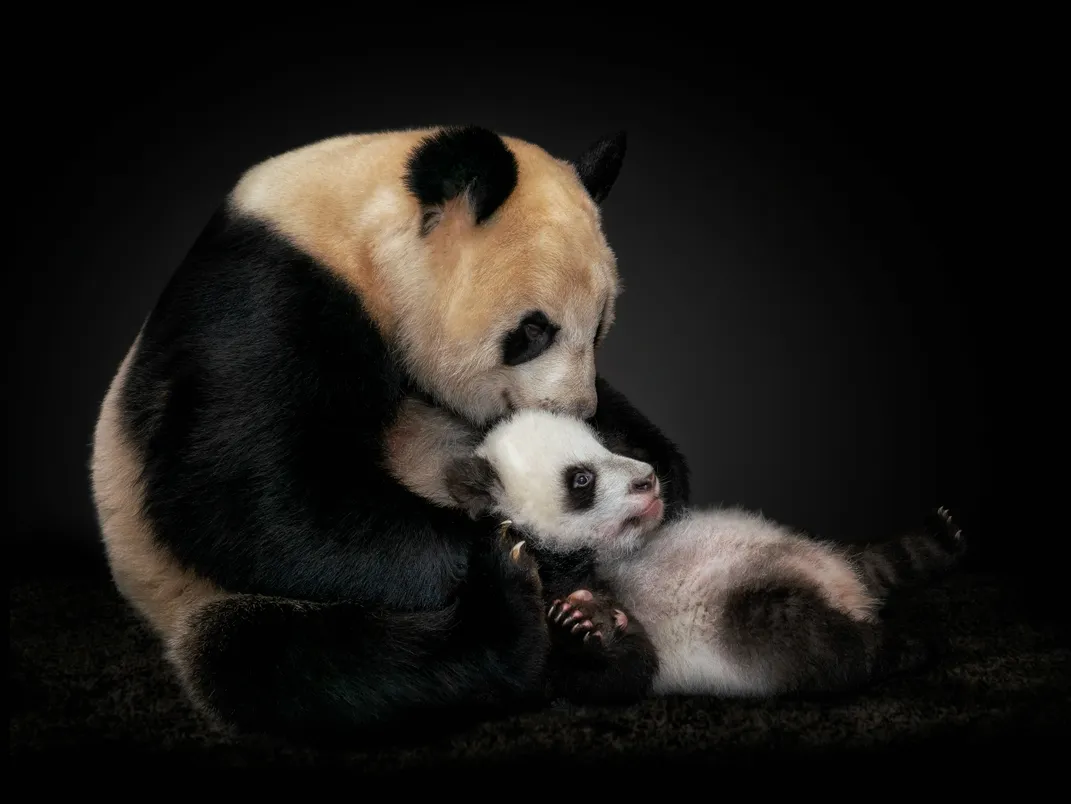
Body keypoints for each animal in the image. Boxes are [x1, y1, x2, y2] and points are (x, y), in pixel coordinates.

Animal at [89, 125, 691, 741]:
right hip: (203, 595)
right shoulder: (264, 302)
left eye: (598, 329)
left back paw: (595, 635)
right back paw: (513, 618)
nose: (573, 411)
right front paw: (541, 554)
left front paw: (649, 470)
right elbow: (247, 499)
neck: (356, 241)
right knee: (283, 659)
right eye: (533, 331)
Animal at [443, 409, 969, 700]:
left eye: (605, 445)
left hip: (821, 551)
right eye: (581, 480)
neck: (607, 555)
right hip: (755, 623)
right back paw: (916, 637)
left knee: (874, 560)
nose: (647, 479)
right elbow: (612, 677)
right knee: (830, 645)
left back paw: (939, 536)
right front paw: (580, 623)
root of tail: (846, 592)